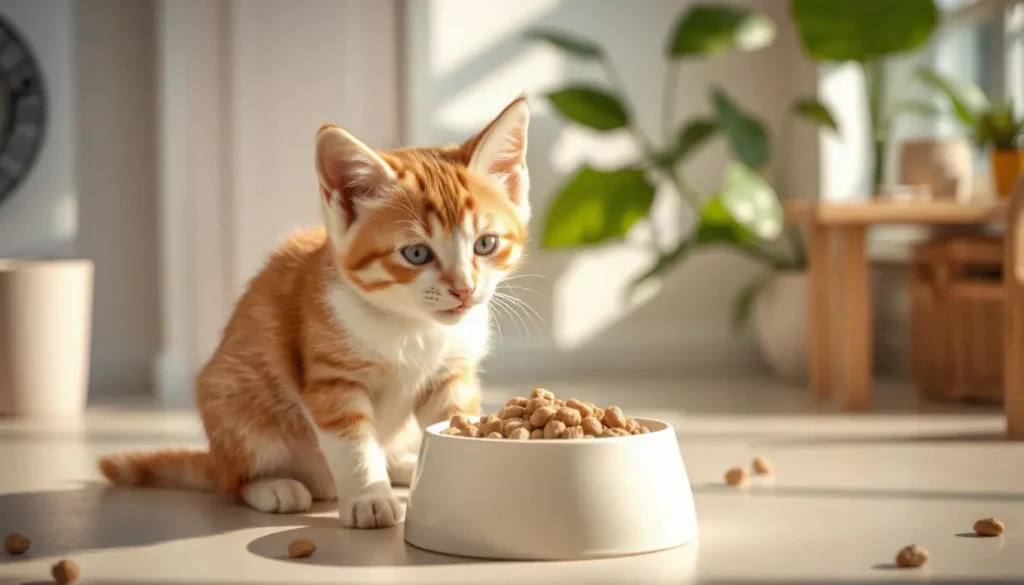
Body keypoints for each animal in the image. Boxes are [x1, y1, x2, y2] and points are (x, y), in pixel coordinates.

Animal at [96, 97, 532, 532]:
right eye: (417, 253)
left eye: (486, 244)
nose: (464, 288)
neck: (413, 327)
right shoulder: (331, 377)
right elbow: (352, 440)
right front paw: (370, 497)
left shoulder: (451, 373)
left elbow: (452, 420)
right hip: (234, 404)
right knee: (233, 481)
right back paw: (275, 487)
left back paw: (403, 465)